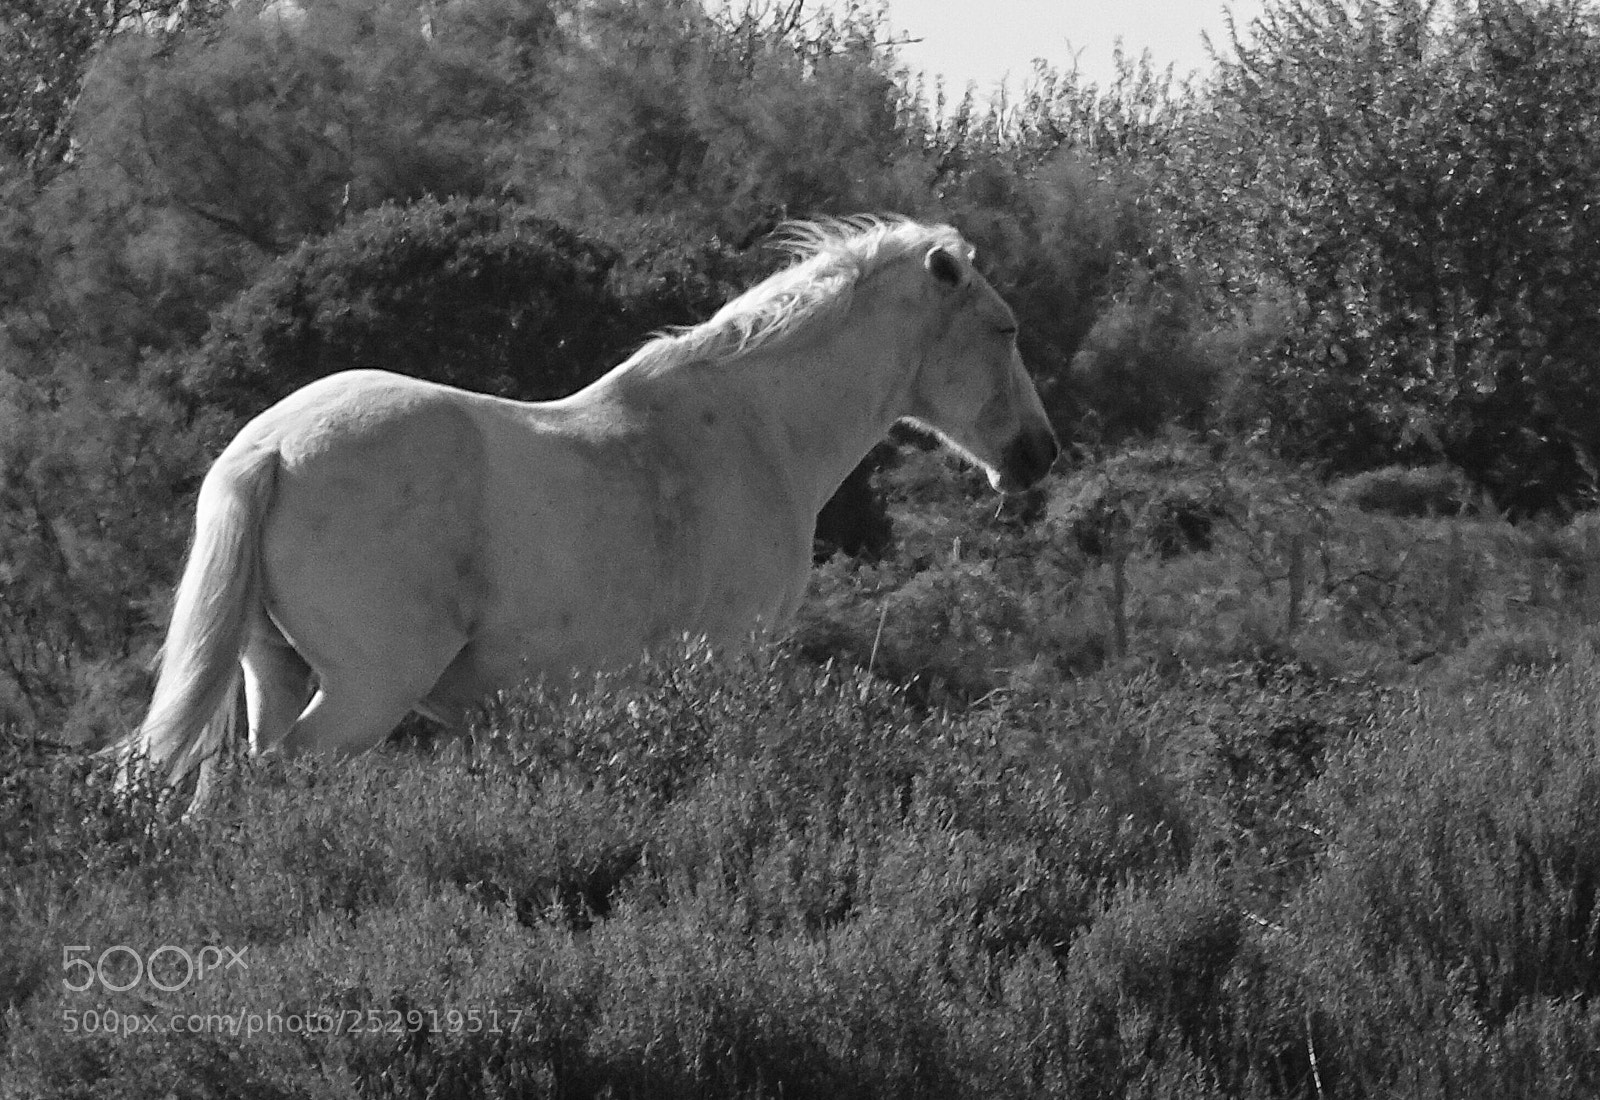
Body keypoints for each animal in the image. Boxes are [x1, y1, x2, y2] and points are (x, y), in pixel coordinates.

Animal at [124, 215, 1060, 801]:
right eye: (1006, 329)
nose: (1039, 454)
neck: (757, 427)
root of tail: (269, 450)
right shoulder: (726, 660)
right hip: (368, 688)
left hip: (274, 672)